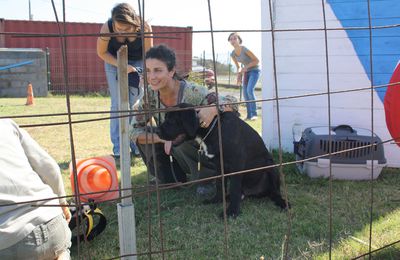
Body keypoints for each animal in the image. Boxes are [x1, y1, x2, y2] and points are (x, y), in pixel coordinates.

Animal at [158, 103, 290, 217]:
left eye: (171, 121)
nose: (156, 131)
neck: (213, 128)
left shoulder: (237, 165)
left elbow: (234, 188)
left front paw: (232, 212)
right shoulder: (219, 165)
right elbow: (219, 185)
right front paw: (216, 200)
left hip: (272, 167)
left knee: (274, 192)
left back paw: (282, 202)